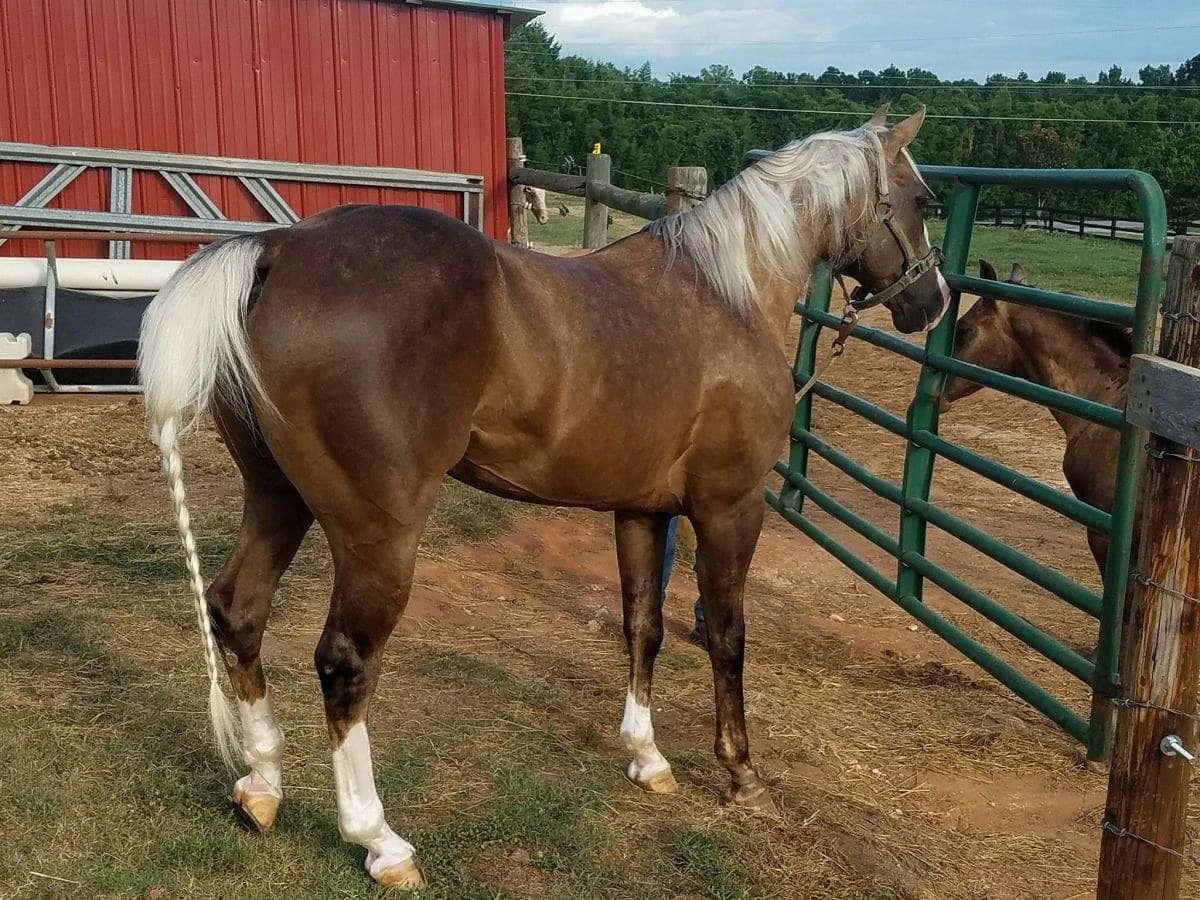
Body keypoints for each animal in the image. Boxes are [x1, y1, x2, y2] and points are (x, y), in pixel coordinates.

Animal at [137, 106, 948, 889]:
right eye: (921, 200)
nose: (931, 303)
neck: (728, 295)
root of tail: (280, 249)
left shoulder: (642, 511)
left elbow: (643, 626)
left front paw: (647, 756)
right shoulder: (730, 508)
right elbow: (727, 636)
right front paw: (741, 774)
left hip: (278, 498)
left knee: (238, 612)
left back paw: (261, 786)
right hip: (377, 535)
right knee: (344, 662)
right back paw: (379, 841)